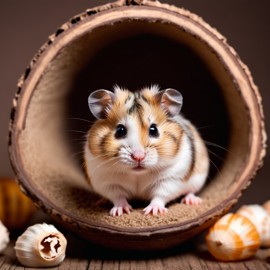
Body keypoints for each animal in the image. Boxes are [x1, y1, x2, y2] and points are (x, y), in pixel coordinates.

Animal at [84, 85, 209, 216]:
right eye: (120, 130)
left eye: (154, 130)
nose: (138, 157)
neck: (138, 174)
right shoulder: (107, 181)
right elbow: (118, 196)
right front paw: (120, 212)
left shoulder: (171, 179)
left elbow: (160, 195)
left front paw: (152, 212)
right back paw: (100, 202)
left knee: (191, 191)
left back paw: (192, 201)